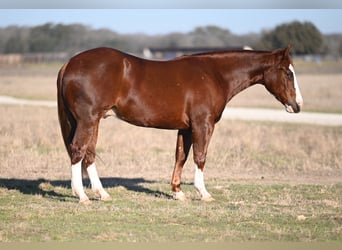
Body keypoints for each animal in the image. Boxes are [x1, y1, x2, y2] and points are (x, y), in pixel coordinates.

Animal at [57, 45, 304, 203]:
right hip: (87, 120)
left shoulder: (185, 128)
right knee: (78, 151)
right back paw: (82, 196)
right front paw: (203, 193)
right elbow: (200, 157)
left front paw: (178, 192)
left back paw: (102, 194)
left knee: (89, 154)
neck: (214, 74)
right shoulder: (203, 124)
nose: (298, 105)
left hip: (94, 121)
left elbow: (180, 157)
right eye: (288, 73)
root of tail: (69, 63)